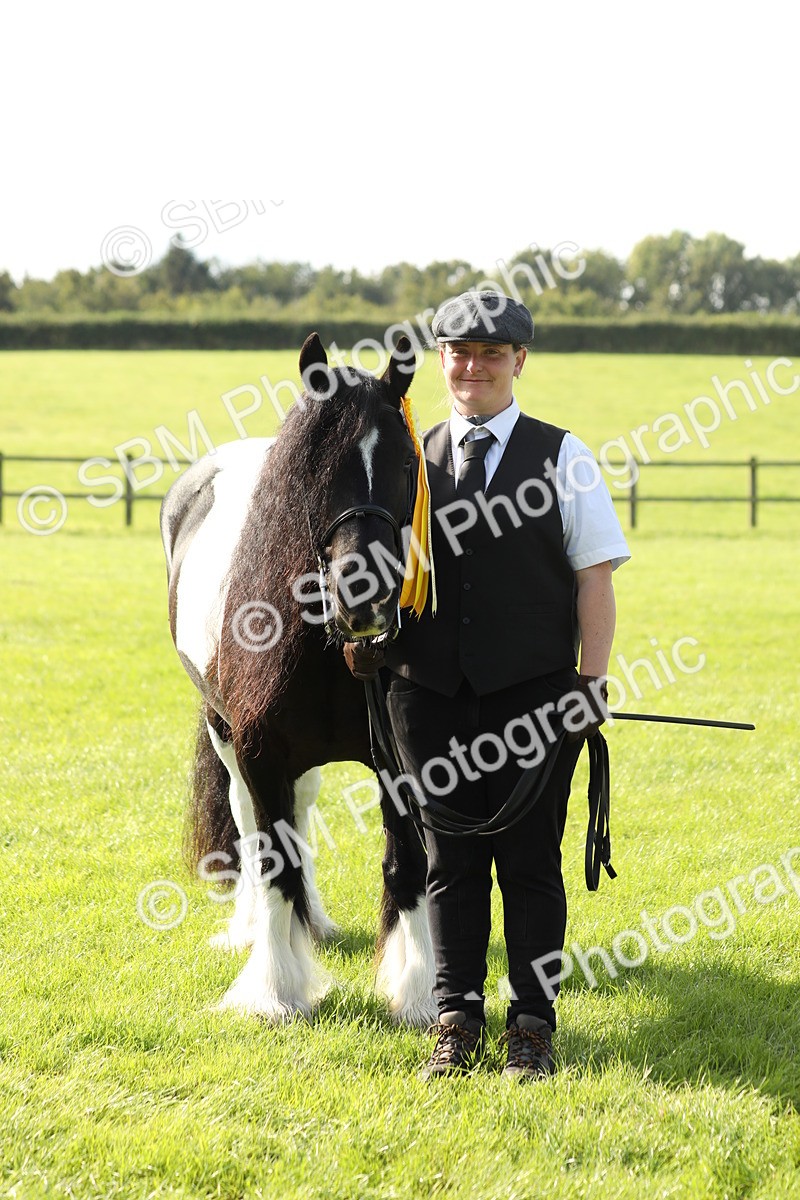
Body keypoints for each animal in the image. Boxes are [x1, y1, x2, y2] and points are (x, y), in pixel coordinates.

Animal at [159, 332, 436, 1025]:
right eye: (314, 465)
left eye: (405, 462)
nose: (365, 598)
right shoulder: (260, 752)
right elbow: (271, 858)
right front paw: (276, 992)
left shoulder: (400, 761)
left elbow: (408, 862)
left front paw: (418, 991)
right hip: (223, 729)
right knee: (248, 818)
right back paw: (251, 930)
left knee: (300, 809)